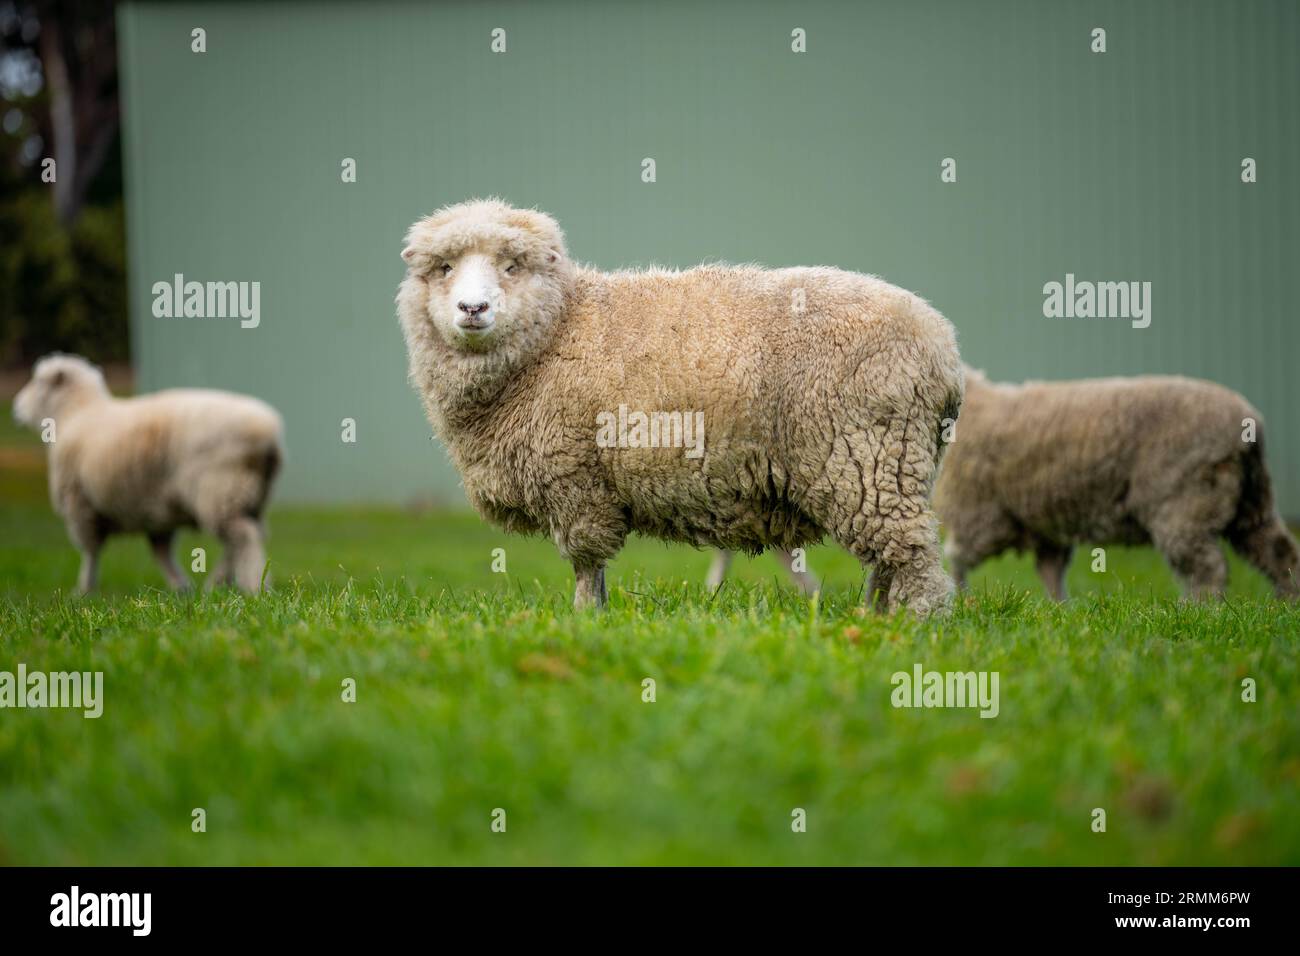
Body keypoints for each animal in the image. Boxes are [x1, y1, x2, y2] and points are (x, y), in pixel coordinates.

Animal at [12, 354, 284, 594]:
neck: (75, 413)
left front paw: (83, 591)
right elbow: (160, 551)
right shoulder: (155, 510)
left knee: (243, 538)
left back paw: (253, 586)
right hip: (248, 493)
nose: (15, 409)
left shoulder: (80, 503)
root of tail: (267, 433)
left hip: (218, 490)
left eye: (37, 382)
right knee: (242, 538)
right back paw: (217, 585)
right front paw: (181, 587)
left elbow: (91, 551)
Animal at [397, 199, 964, 615]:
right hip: (889, 463)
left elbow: (585, 563)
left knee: (911, 556)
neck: (560, 327)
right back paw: (874, 616)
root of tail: (943, 347)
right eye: (444, 268)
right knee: (888, 559)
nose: (473, 308)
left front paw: (583, 619)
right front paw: (598, 616)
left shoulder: (575, 479)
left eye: (512, 266)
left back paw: (915, 623)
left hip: (869, 455)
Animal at [935, 367, 1299, 600]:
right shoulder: (1046, 525)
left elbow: (957, 558)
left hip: (1183, 502)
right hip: (1252, 504)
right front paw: (1059, 611)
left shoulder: (980, 514)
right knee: (1279, 552)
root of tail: (1249, 426)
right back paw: (1285, 606)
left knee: (1208, 568)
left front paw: (961, 599)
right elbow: (1050, 571)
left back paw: (1201, 611)